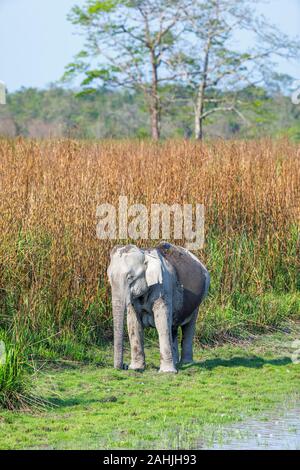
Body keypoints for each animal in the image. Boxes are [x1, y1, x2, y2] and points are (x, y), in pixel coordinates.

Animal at [106, 242, 210, 370]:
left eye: (130, 277)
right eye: (109, 278)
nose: (124, 366)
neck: (145, 253)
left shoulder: (163, 286)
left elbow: (162, 322)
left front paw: (167, 371)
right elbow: (133, 324)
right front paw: (136, 368)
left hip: (198, 301)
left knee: (188, 326)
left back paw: (186, 363)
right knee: (173, 328)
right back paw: (176, 363)